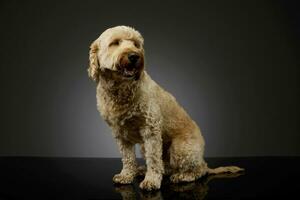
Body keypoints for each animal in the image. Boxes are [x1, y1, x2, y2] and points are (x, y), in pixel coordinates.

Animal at [87, 25, 244, 191]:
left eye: (136, 44)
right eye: (115, 43)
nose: (134, 56)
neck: (121, 89)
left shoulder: (151, 130)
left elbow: (154, 159)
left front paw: (151, 181)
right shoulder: (120, 133)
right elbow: (128, 157)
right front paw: (126, 175)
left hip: (180, 148)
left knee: (198, 170)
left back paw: (183, 176)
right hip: (148, 147)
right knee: (167, 166)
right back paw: (142, 170)